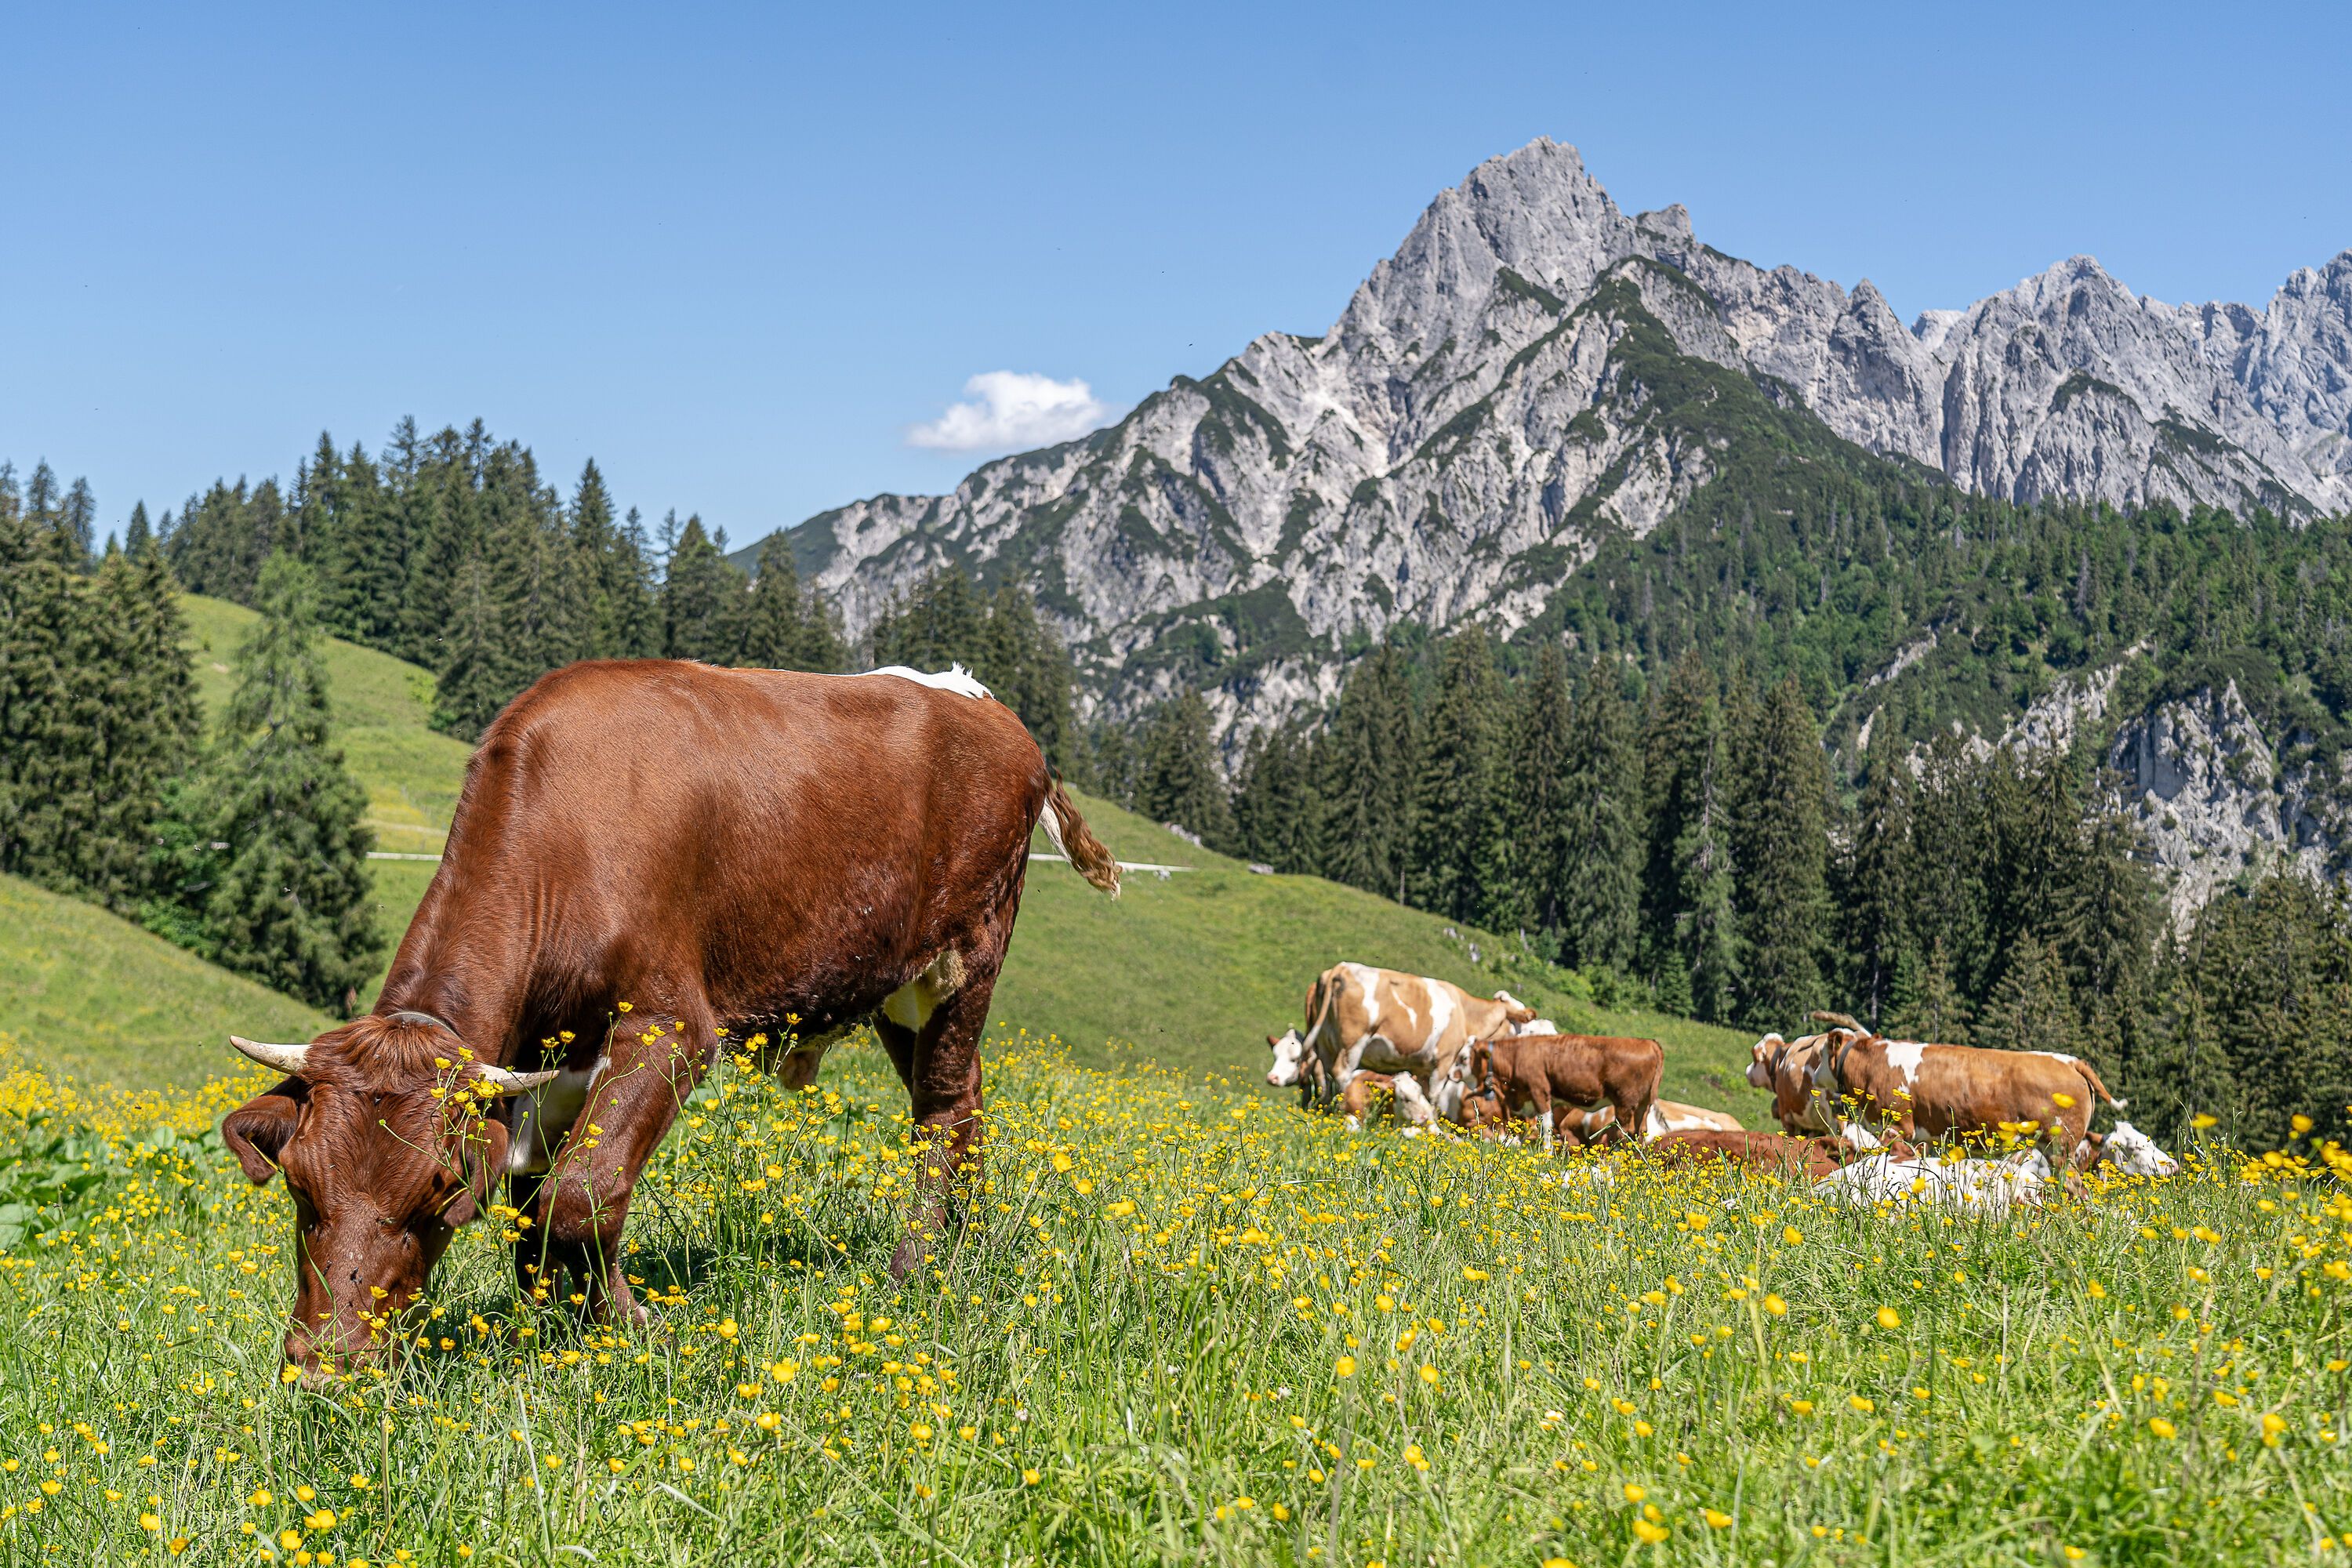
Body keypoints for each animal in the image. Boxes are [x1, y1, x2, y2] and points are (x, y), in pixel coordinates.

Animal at [217, 661, 1120, 1382]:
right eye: (298, 1184)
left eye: (437, 1195)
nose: (327, 1365)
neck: (562, 837)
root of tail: (985, 704)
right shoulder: (550, 1065)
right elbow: (535, 1202)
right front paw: (552, 1322)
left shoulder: (670, 1025)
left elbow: (580, 1194)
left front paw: (630, 1324)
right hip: (893, 980)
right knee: (966, 1100)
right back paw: (962, 1249)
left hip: (967, 953)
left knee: (942, 1104)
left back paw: (912, 1270)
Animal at [1456, 1032, 1662, 1150]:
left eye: (1463, 1058)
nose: (1451, 1074)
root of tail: (1650, 1043)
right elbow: (1542, 1125)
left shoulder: (1539, 1090)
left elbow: (1546, 1123)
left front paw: (1546, 1152)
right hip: (1643, 1105)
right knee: (1640, 1132)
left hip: (1625, 1103)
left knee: (1623, 1133)